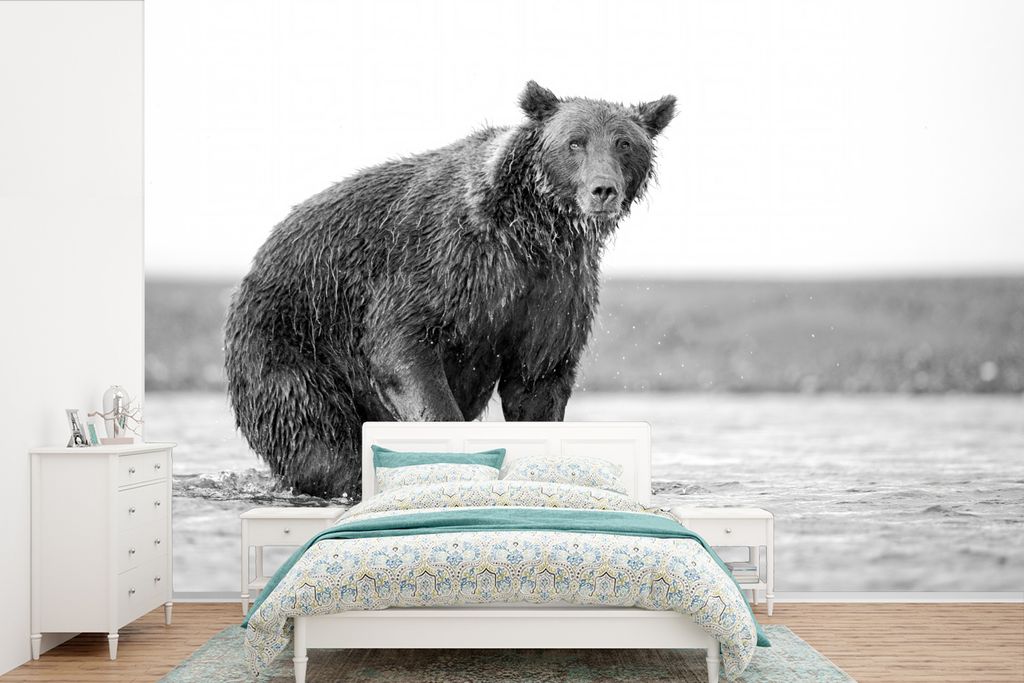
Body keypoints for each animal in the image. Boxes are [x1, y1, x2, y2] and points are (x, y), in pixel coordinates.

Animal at [224, 81, 676, 499]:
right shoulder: (441, 260)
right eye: (574, 142)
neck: (531, 230)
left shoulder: (554, 289)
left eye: (624, 144)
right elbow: (402, 347)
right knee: (322, 441)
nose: (603, 190)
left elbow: (536, 381)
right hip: (293, 345)